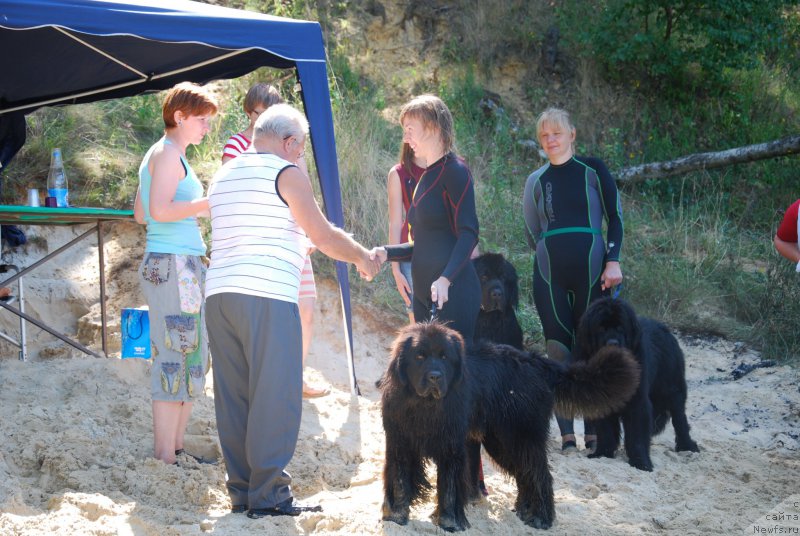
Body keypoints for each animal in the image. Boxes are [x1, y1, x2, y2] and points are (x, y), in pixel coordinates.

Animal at [378, 320, 640, 528]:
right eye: (419, 356)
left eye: (444, 357)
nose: (435, 377)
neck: (424, 406)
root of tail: (535, 362)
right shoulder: (399, 442)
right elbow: (399, 479)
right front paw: (396, 515)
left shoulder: (451, 447)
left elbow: (450, 485)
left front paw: (450, 522)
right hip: (503, 441)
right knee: (525, 473)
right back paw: (524, 510)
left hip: (517, 437)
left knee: (539, 474)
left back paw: (541, 518)